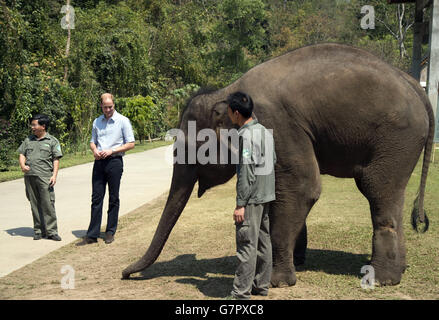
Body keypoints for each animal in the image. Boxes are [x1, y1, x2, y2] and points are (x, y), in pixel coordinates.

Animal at [123, 43, 434, 288]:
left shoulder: (278, 127)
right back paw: (396, 271)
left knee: (377, 189)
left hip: (396, 138)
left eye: (187, 148)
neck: (228, 91)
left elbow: (302, 187)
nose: (125, 274)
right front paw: (297, 259)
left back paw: (382, 279)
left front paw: (275, 281)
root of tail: (415, 86)